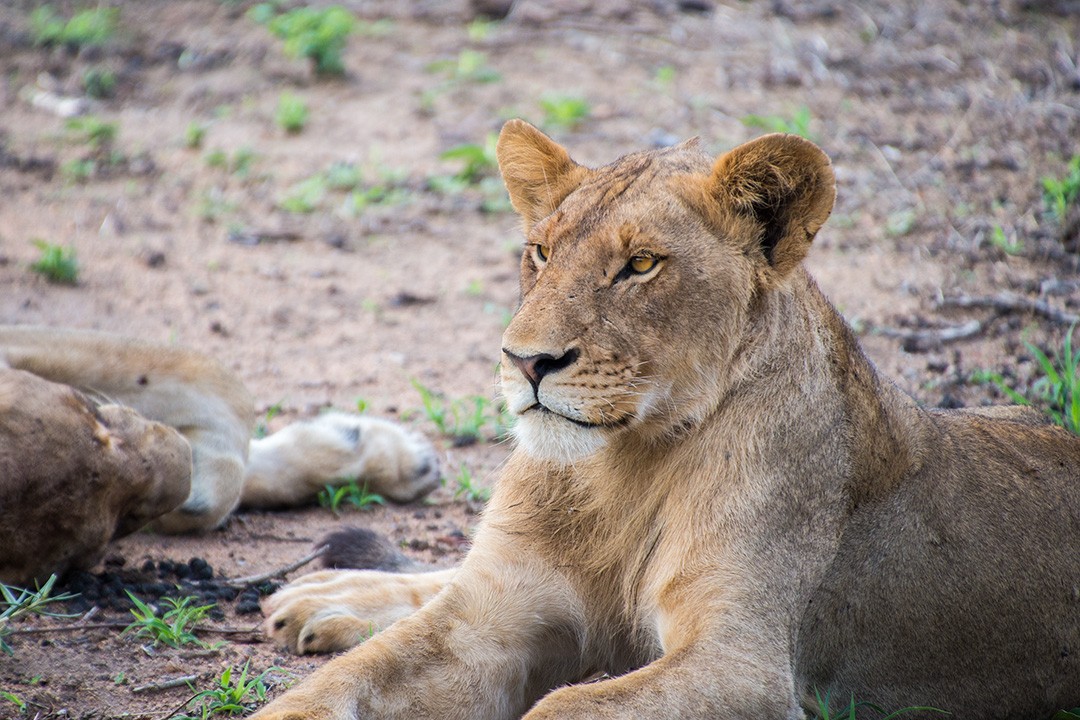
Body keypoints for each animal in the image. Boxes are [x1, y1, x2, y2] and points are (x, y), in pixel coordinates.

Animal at [252, 119, 1080, 720]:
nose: (525, 361)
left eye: (641, 265)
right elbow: (341, 684)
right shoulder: (487, 621)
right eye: (539, 251)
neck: (619, 471)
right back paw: (328, 597)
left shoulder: (742, 664)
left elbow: (566, 708)